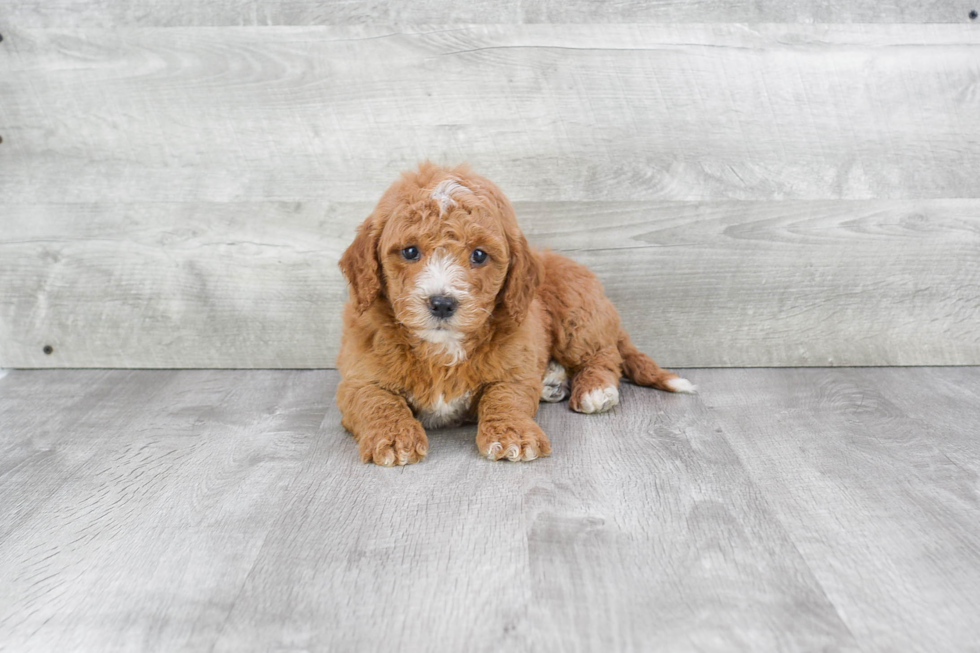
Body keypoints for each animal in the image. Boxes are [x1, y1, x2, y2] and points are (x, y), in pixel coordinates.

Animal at [338, 162, 696, 464]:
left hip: (577, 315)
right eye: (410, 251)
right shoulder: (358, 377)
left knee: (604, 354)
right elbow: (377, 401)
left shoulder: (514, 368)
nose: (442, 303)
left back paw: (594, 389)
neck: (442, 347)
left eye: (479, 255)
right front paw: (393, 437)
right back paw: (552, 380)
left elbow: (505, 398)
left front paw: (513, 435)